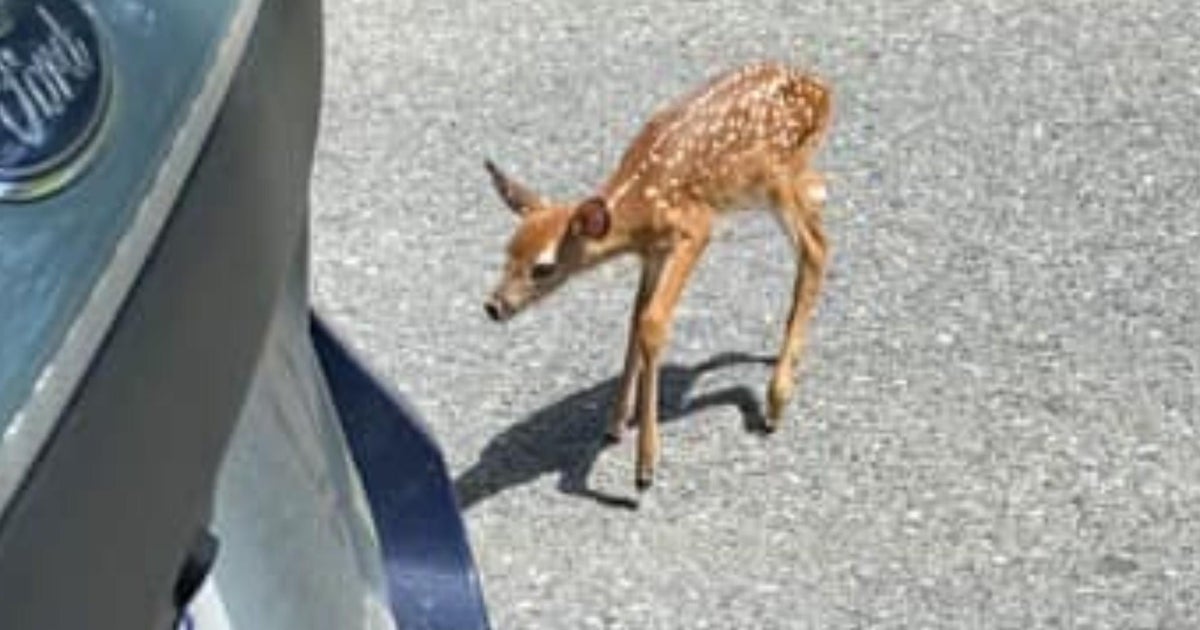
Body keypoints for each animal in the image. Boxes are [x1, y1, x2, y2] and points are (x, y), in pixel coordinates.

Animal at [482, 61, 833, 491]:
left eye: (543, 268)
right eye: (507, 251)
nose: (494, 306)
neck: (638, 206)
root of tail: (824, 89)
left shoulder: (695, 228)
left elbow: (652, 322)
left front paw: (645, 464)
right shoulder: (652, 253)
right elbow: (635, 317)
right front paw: (616, 422)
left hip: (773, 178)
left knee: (815, 248)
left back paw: (776, 400)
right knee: (818, 219)